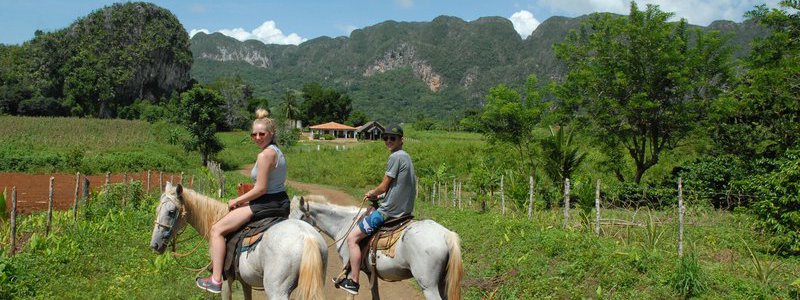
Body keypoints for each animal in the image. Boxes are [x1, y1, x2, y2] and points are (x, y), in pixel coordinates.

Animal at [150, 183, 328, 300]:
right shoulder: (245, 281)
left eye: (171, 212)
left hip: (277, 291)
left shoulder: (226, 278)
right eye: (157, 209)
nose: (154, 245)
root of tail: (307, 236)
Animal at [292, 195, 462, 300]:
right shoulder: (370, 272)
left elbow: (350, 293)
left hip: (428, 286)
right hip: (441, 282)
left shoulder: (349, 269)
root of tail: (446, 234)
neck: (345, 223)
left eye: (301, 217)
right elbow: (375, 294)